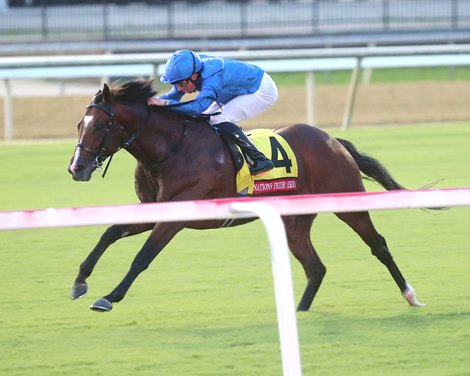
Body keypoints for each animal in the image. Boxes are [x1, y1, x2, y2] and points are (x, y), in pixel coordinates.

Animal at [67, 78, 422, 312]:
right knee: (316, 268)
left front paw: (109, 297)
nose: (76, 167)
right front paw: (79, 281)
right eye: (79, 124)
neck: (172, 148)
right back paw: (299, 313)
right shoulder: (154, 209)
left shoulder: (176, 215)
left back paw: (410, 295)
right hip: (295, 221)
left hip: (348, 202)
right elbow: (110, 232)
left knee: (378, 245)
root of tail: (333, 140)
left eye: (99, 126)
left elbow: (142, 257)